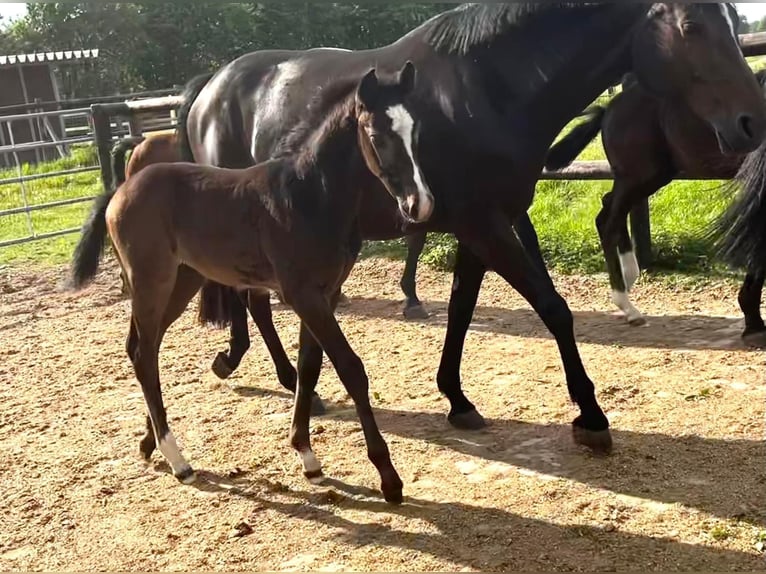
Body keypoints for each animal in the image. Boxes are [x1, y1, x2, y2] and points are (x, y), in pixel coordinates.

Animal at [70, 62, 432, 504]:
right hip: (151, 281)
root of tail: (120, 190)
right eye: (377, 135)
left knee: (144, 348)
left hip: (181, 282)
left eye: (416, 131)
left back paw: (150, 442)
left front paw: (307, 457)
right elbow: (351, 369)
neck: (309, 196)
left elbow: (310, 366)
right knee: (142, 353)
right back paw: (178, 461)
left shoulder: (324, 294)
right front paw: (388, 477)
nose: (419, 205)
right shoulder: (302, 295)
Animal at [544, 68, 766, 340]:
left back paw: (629, 276)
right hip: (639, 175)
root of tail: (610, 107)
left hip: (650, 176)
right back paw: (628, 306)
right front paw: (753, 319)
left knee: (608, 209)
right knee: (609, 222)